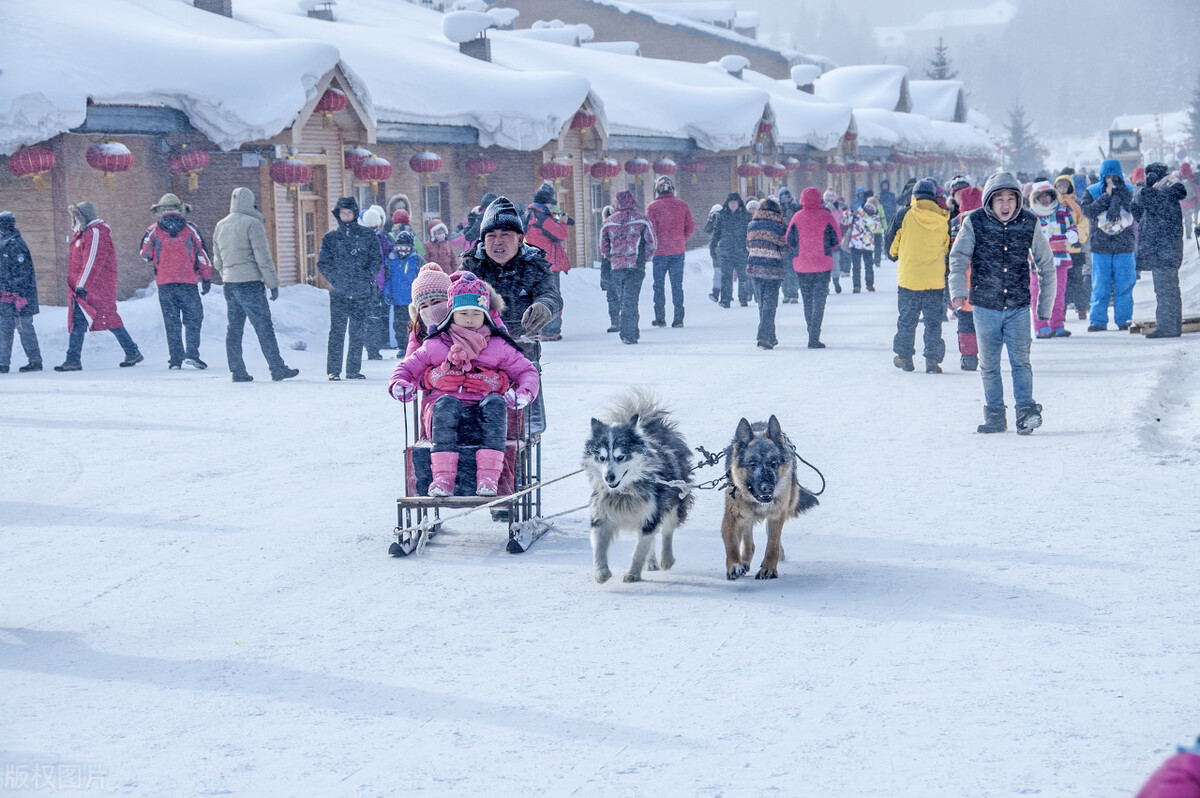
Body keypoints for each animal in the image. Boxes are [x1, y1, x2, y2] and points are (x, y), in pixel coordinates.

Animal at [715, 417, 820, 578]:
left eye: (774, 463)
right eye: (752, 464)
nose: (767, 487)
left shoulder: (777, 516)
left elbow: (772, 545)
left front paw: (769, 568)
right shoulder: (732, 517)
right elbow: (731, 542)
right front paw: (734, 565)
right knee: (748, 538)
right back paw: (745, 560)